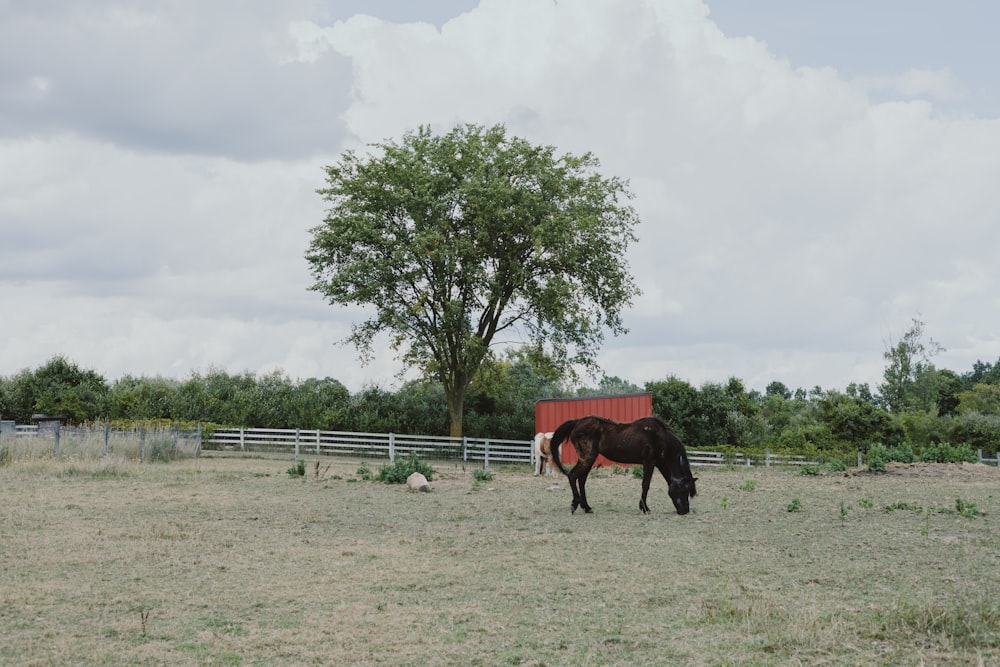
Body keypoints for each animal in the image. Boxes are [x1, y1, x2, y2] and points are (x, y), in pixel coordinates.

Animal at [548, 418, 696, 516]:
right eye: (684, 490)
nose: (685, 511)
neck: (661, 437)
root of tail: (577, 422)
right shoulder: (649, 462)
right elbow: (645, 485)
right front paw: (645, 508)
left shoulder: (658, 463)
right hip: (587, 458)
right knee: (572, 475)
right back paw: (574, 505)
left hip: (589, 460)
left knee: (581, 479)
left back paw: (587, 507)